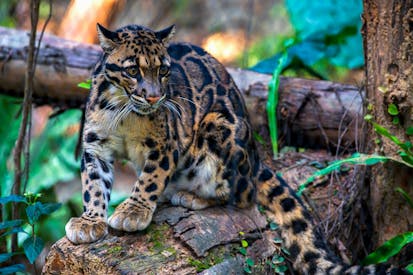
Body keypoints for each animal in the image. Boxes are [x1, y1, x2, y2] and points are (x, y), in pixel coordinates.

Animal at [65, 23, 406, 275]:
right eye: (132, 71)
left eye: (162, 71)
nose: (154, 97)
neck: (121, 110)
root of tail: (256, 159)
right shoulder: (94, 146)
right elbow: (93, 185)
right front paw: (90, 221)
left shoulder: (165, 145)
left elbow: (149, 179)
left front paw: (133, 211)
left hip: (219, 126)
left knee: (239, 194)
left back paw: (190, 195)